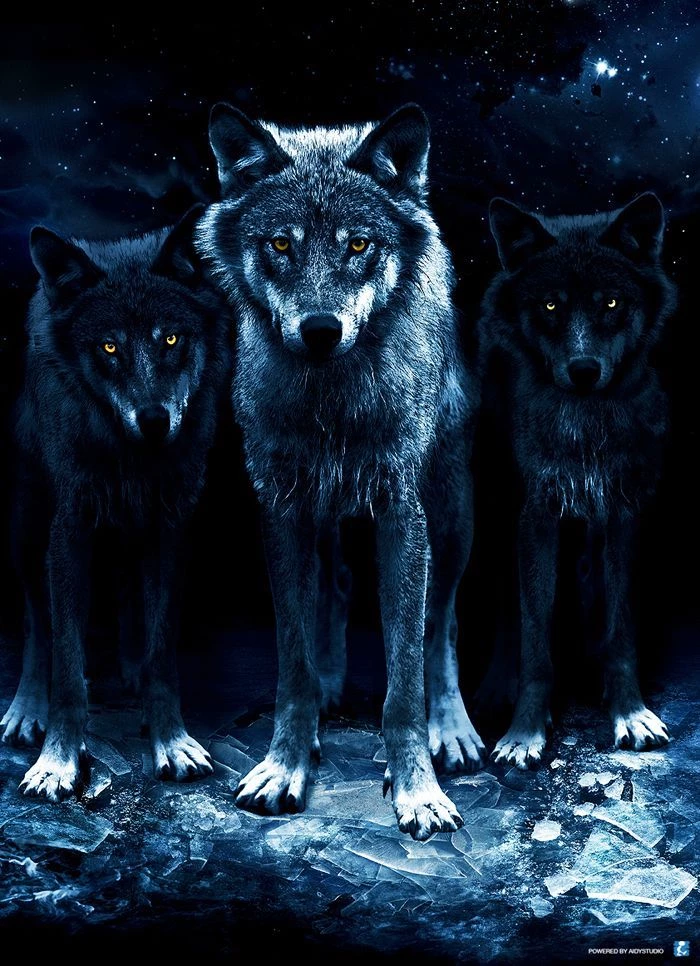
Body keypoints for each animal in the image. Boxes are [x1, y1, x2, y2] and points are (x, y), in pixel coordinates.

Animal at [0, 206, 230, 800]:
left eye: (170, 338)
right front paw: (56, 760)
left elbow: (162, 648)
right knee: (35, 623)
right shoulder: (69, 533)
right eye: (109, 347)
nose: (154, 420)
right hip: (26, 529)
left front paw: (171, 739)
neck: (130, 459)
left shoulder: (171, 529)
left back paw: (132, 674)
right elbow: (65, 659)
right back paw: (26, 709)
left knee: (129, 594)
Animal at [196, 102, 485, 839]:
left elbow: (405, 674)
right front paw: (285, 765)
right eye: (280, 244)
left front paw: (418, 790)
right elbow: (293, 661)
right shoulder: (281, 508)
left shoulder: (402, 514)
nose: (321, 329)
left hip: (453, 514)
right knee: (336, 580)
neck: (331, 403)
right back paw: (332, 684)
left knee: (444, 620)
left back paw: (454, 729)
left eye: (358, 246)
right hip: (324, 513)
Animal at [480, 192, 676, 768]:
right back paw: (497, 685)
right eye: (550, 306)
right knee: (506, 602)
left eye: (610, 303)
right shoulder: (536, 516)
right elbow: (535, 636)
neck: (585, 425)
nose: (584, 369)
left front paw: (629, 712)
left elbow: (621, 626)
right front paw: (524, 732)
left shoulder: (624, 512)